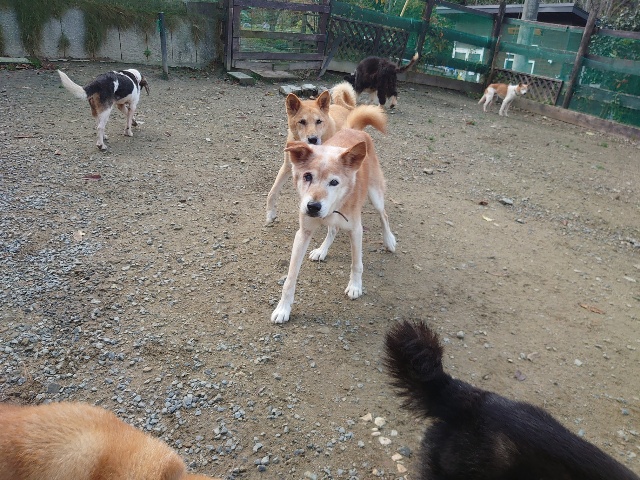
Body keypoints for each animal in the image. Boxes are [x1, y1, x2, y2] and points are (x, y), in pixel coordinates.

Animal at [266, 81, 358, 225]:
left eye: (318, 121)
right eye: (302, 122)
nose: (313, 139)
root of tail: (345, 107)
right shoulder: (287, 167)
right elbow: (273, 191)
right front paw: (270, 214)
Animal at [271, 108, 395, 323]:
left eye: (334, 182)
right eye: (307, 176)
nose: (313, 207)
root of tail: (355, 130)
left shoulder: (356, 230)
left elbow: (357, 263)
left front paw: (355, 286)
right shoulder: (303, 233)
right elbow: (290, 278)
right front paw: (283, 308)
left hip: (375, 195)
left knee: (384, 215)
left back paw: (389, 240)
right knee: (333, 230)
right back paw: (322, 250)